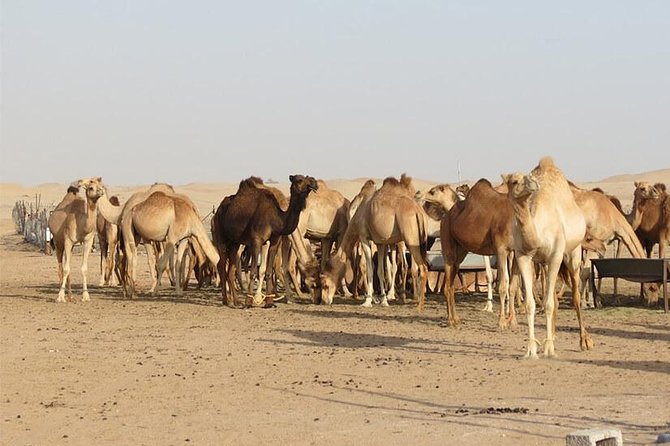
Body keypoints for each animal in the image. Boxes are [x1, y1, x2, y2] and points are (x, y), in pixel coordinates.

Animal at [212, 175, 318, 308]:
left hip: (234, 242)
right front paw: (249, 301)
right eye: (299, 180)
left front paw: (269, 302)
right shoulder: (257, 240)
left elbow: (268, 271)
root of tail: (217, 210)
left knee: (231, 269)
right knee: (221, 264)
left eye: (308, 177)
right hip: (221, 237)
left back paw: (235, 301)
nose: (314, 183)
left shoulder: (274, 241)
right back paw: (226, 300)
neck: (277, 218)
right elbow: (254, 271)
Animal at [320, 174, 428, 309]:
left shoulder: (364, 237)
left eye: (325, 284)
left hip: (410, 239)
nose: (324, 301)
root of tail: (418, 212)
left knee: (420, 267)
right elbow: (380, 270)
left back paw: (418, 304)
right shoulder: (380, 243)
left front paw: (367, 301)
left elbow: (370, 268)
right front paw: (383, 300)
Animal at [503, 157, 592, 359]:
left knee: (574, 295)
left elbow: (549, 304)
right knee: (553, 297)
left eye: (527, 176)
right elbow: (531, 304)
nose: (533, 183)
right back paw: (552, 337)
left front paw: (550, 349)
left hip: (573, 253)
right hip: (544, 263)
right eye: (514, 181)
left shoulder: (555, 256)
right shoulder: (523, 256)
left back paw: (584, 341)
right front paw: (531, 350)